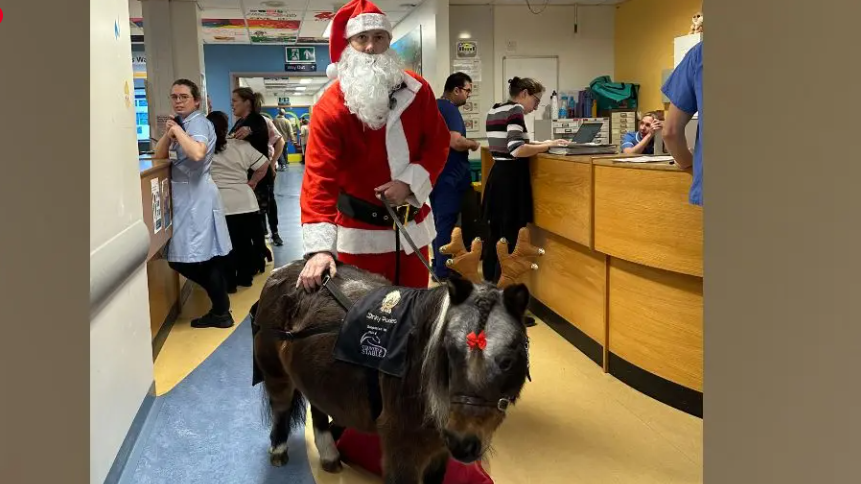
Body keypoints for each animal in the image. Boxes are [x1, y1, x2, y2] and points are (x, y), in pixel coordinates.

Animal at [252, 228, 540, 484]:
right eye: (448, 351)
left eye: (506, 360)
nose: (463, 443)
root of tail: (284, 271)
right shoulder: (401, 448)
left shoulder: (439, 451)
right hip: (274, 369)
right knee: (281, 405)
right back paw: (279, 449)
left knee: (318, 406)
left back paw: (329, 455)